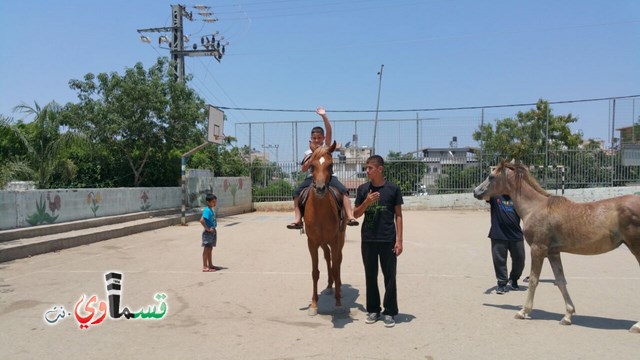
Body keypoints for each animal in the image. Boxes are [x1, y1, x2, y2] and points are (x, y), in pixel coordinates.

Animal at [304, 141, 348, 316]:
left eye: (330, 165)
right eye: (311, 165)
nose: (321, 188)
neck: (320, 210)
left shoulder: (335, 240)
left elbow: (336, 268)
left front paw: (338, 303)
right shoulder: (312, 242)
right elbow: (315, 272)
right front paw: (314, 305)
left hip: (340, 238)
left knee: (338, 259)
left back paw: (338, 286)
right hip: (323, 243)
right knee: (328, 257)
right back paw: (330, 286)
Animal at [472, 162, 640, 334]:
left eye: (491, 176)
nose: (476, 191)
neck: (535, 207)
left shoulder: (537, 249)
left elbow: (534, 280)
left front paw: (523, 311)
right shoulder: (553, 252)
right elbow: (560, 281)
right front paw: (567, 316)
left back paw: (636, 326)